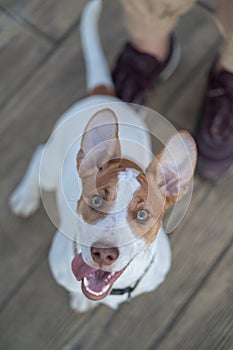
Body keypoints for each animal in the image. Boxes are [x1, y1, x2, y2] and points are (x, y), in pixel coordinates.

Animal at [8, 0, 197, 312]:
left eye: (143, 215)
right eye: (96, 201)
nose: (104, 254)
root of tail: (104, 94)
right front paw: (79, 299)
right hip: (50, 167)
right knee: (39, 155)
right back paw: (25, 197)